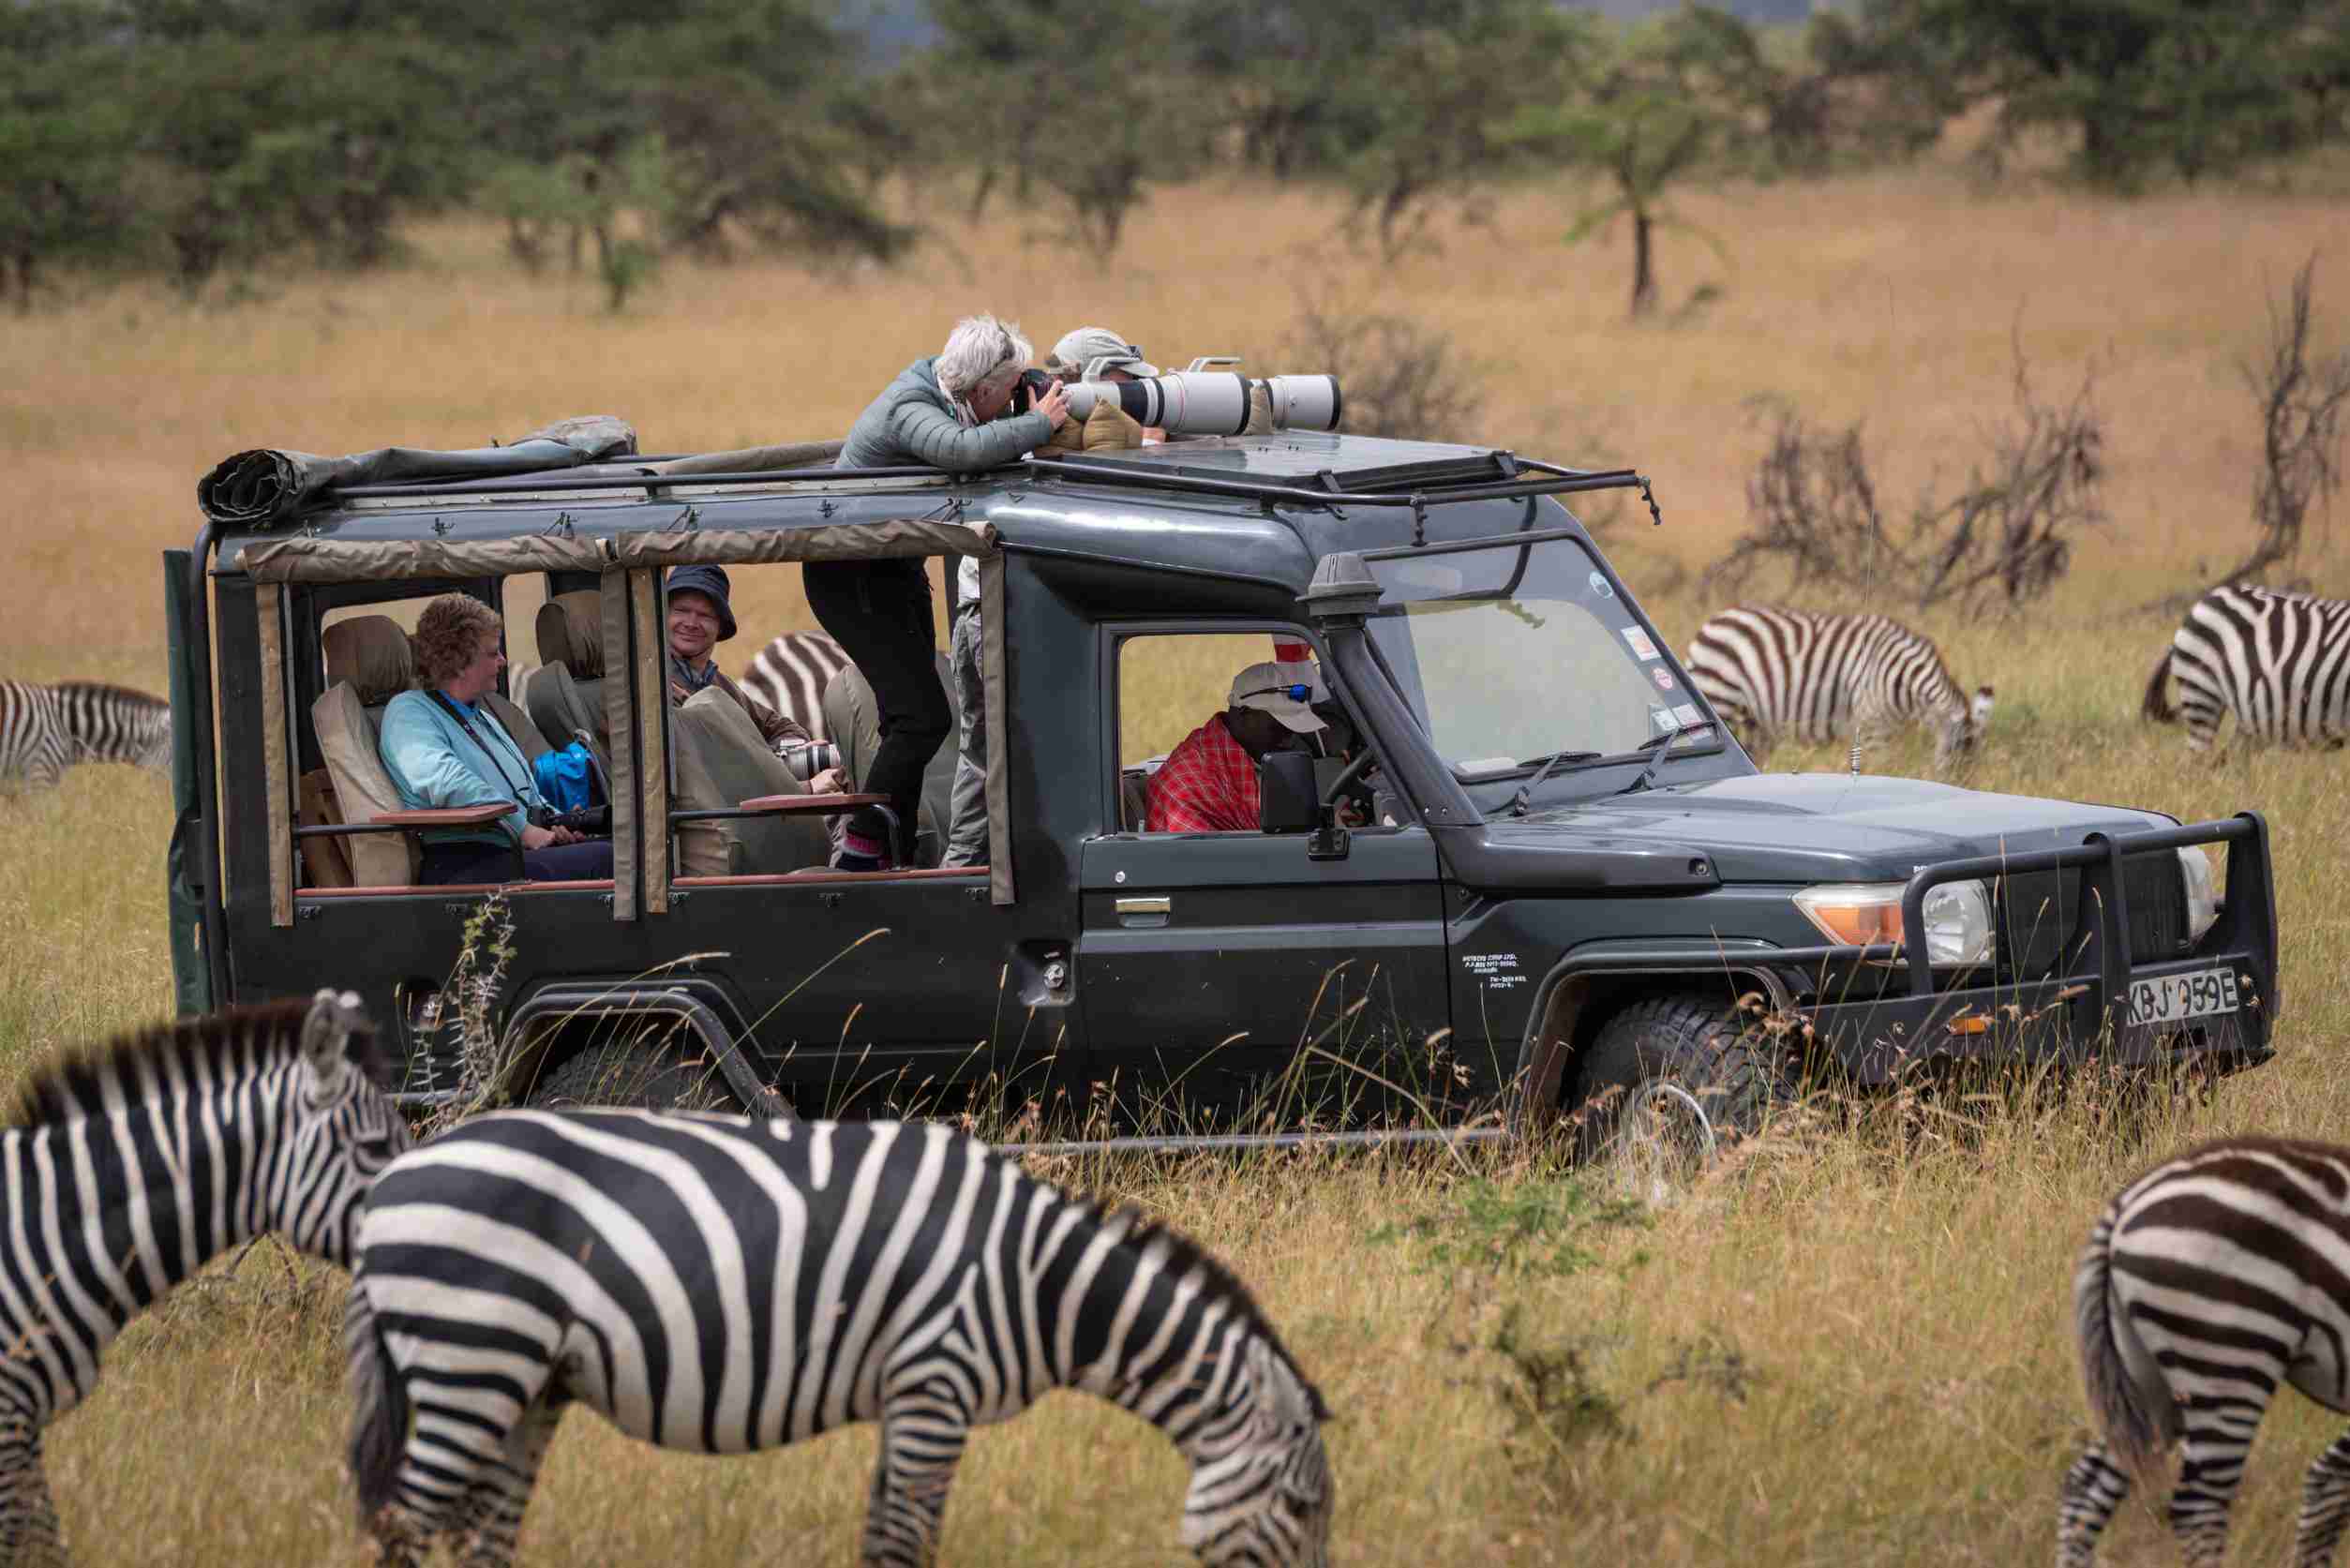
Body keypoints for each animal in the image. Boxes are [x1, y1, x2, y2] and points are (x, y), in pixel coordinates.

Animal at [345, 1114, 1334, 1566]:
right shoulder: (936, 1383)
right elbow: (903, 1542)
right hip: (469, 1353)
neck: (1031, 1276)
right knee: (407, 1519)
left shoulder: (913, 1398)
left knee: (478, 1531)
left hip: (526, 1379)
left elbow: (883, 1536)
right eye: (1301, 1508)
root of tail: (388, 1184)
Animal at [1684, 606, 1994, 768]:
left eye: (1977, 759)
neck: (1903, 679)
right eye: (1960, 755)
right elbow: (1878, 768)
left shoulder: (1887, 728)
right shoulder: (1871, 725)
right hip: (1720, 697)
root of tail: (1714, 621)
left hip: (1755, 723)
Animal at [2058, 1137, 2350, 1567]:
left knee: (2085, 1490)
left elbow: (2329, 1485)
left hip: (2145, 1378)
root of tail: (2126, 1204)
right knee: (2199, 1507)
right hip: (2232, 1355)